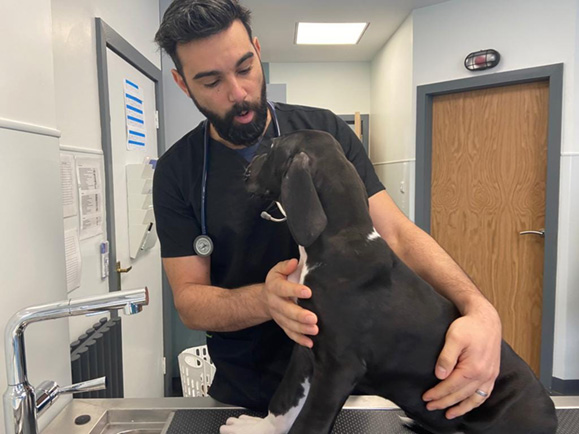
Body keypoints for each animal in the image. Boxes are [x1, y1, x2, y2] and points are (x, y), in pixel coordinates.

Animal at [220, 130, 556, 434]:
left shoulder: (339, 368)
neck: (341, 239)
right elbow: (284, 400)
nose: (247, 169)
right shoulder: (305, 347)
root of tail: (549, 413)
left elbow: (309, 422)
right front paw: (257, 428)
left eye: (272, 147)